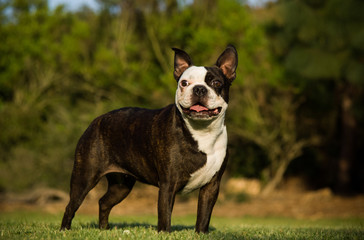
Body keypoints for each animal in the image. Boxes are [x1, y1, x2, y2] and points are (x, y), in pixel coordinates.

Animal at [60, 44, 239, 232]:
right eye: (184, 83)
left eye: (216, 83)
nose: (199, 88)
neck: (202, 132)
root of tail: (96, 120)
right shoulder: (168, 184)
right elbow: (165, 215)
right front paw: (164, 233)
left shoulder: (211, 186)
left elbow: (203, 216)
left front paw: (200, 234)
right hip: (85, 178)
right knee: (71, 206)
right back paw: (65, 230)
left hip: (121, 185)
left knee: (104, 202)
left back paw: (104, 229)